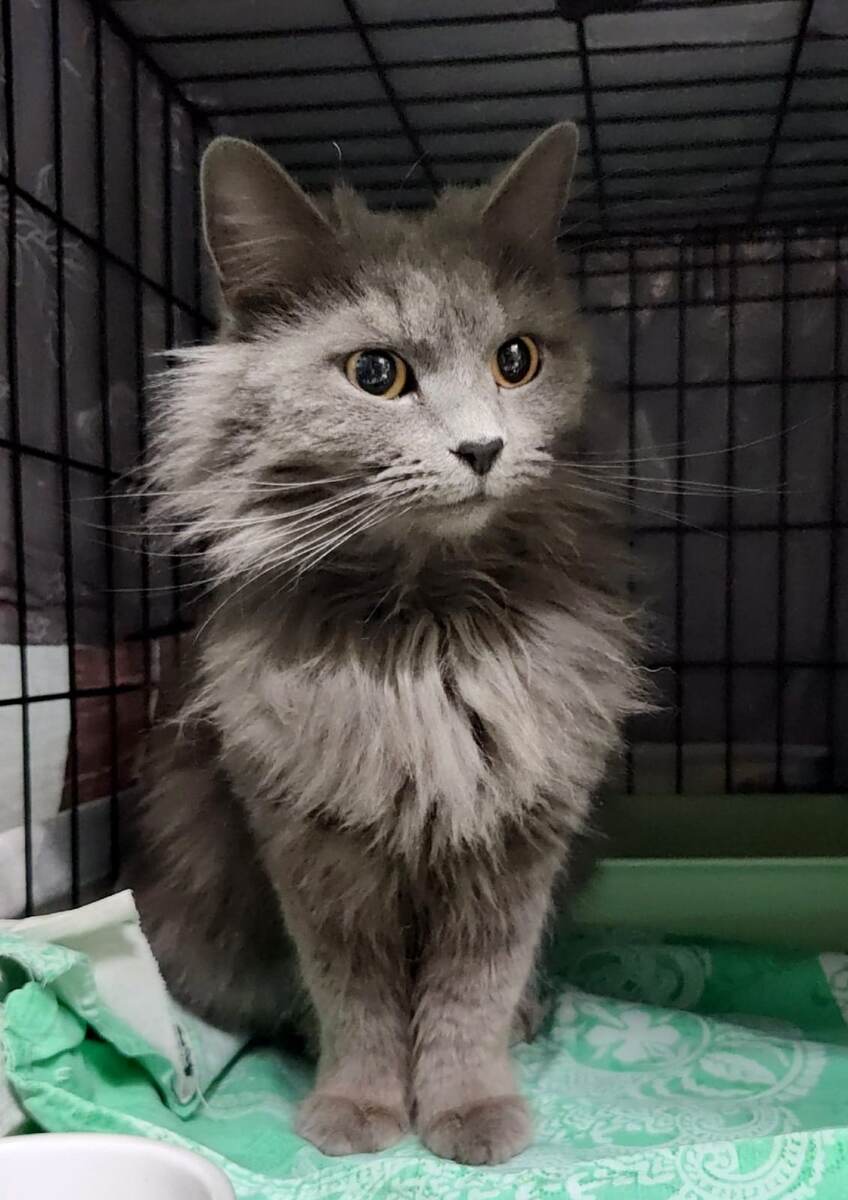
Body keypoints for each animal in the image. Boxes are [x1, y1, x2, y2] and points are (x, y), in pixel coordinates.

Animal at [125, 122, 645, 1165]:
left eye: (517, 360)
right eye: (377, 375)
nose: (484, 449)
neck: (427, 640)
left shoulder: (517, 845)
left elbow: (469, 1000)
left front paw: (470, 1114)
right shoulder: (312, 846)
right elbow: (355, 1000)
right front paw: (357, 1113)